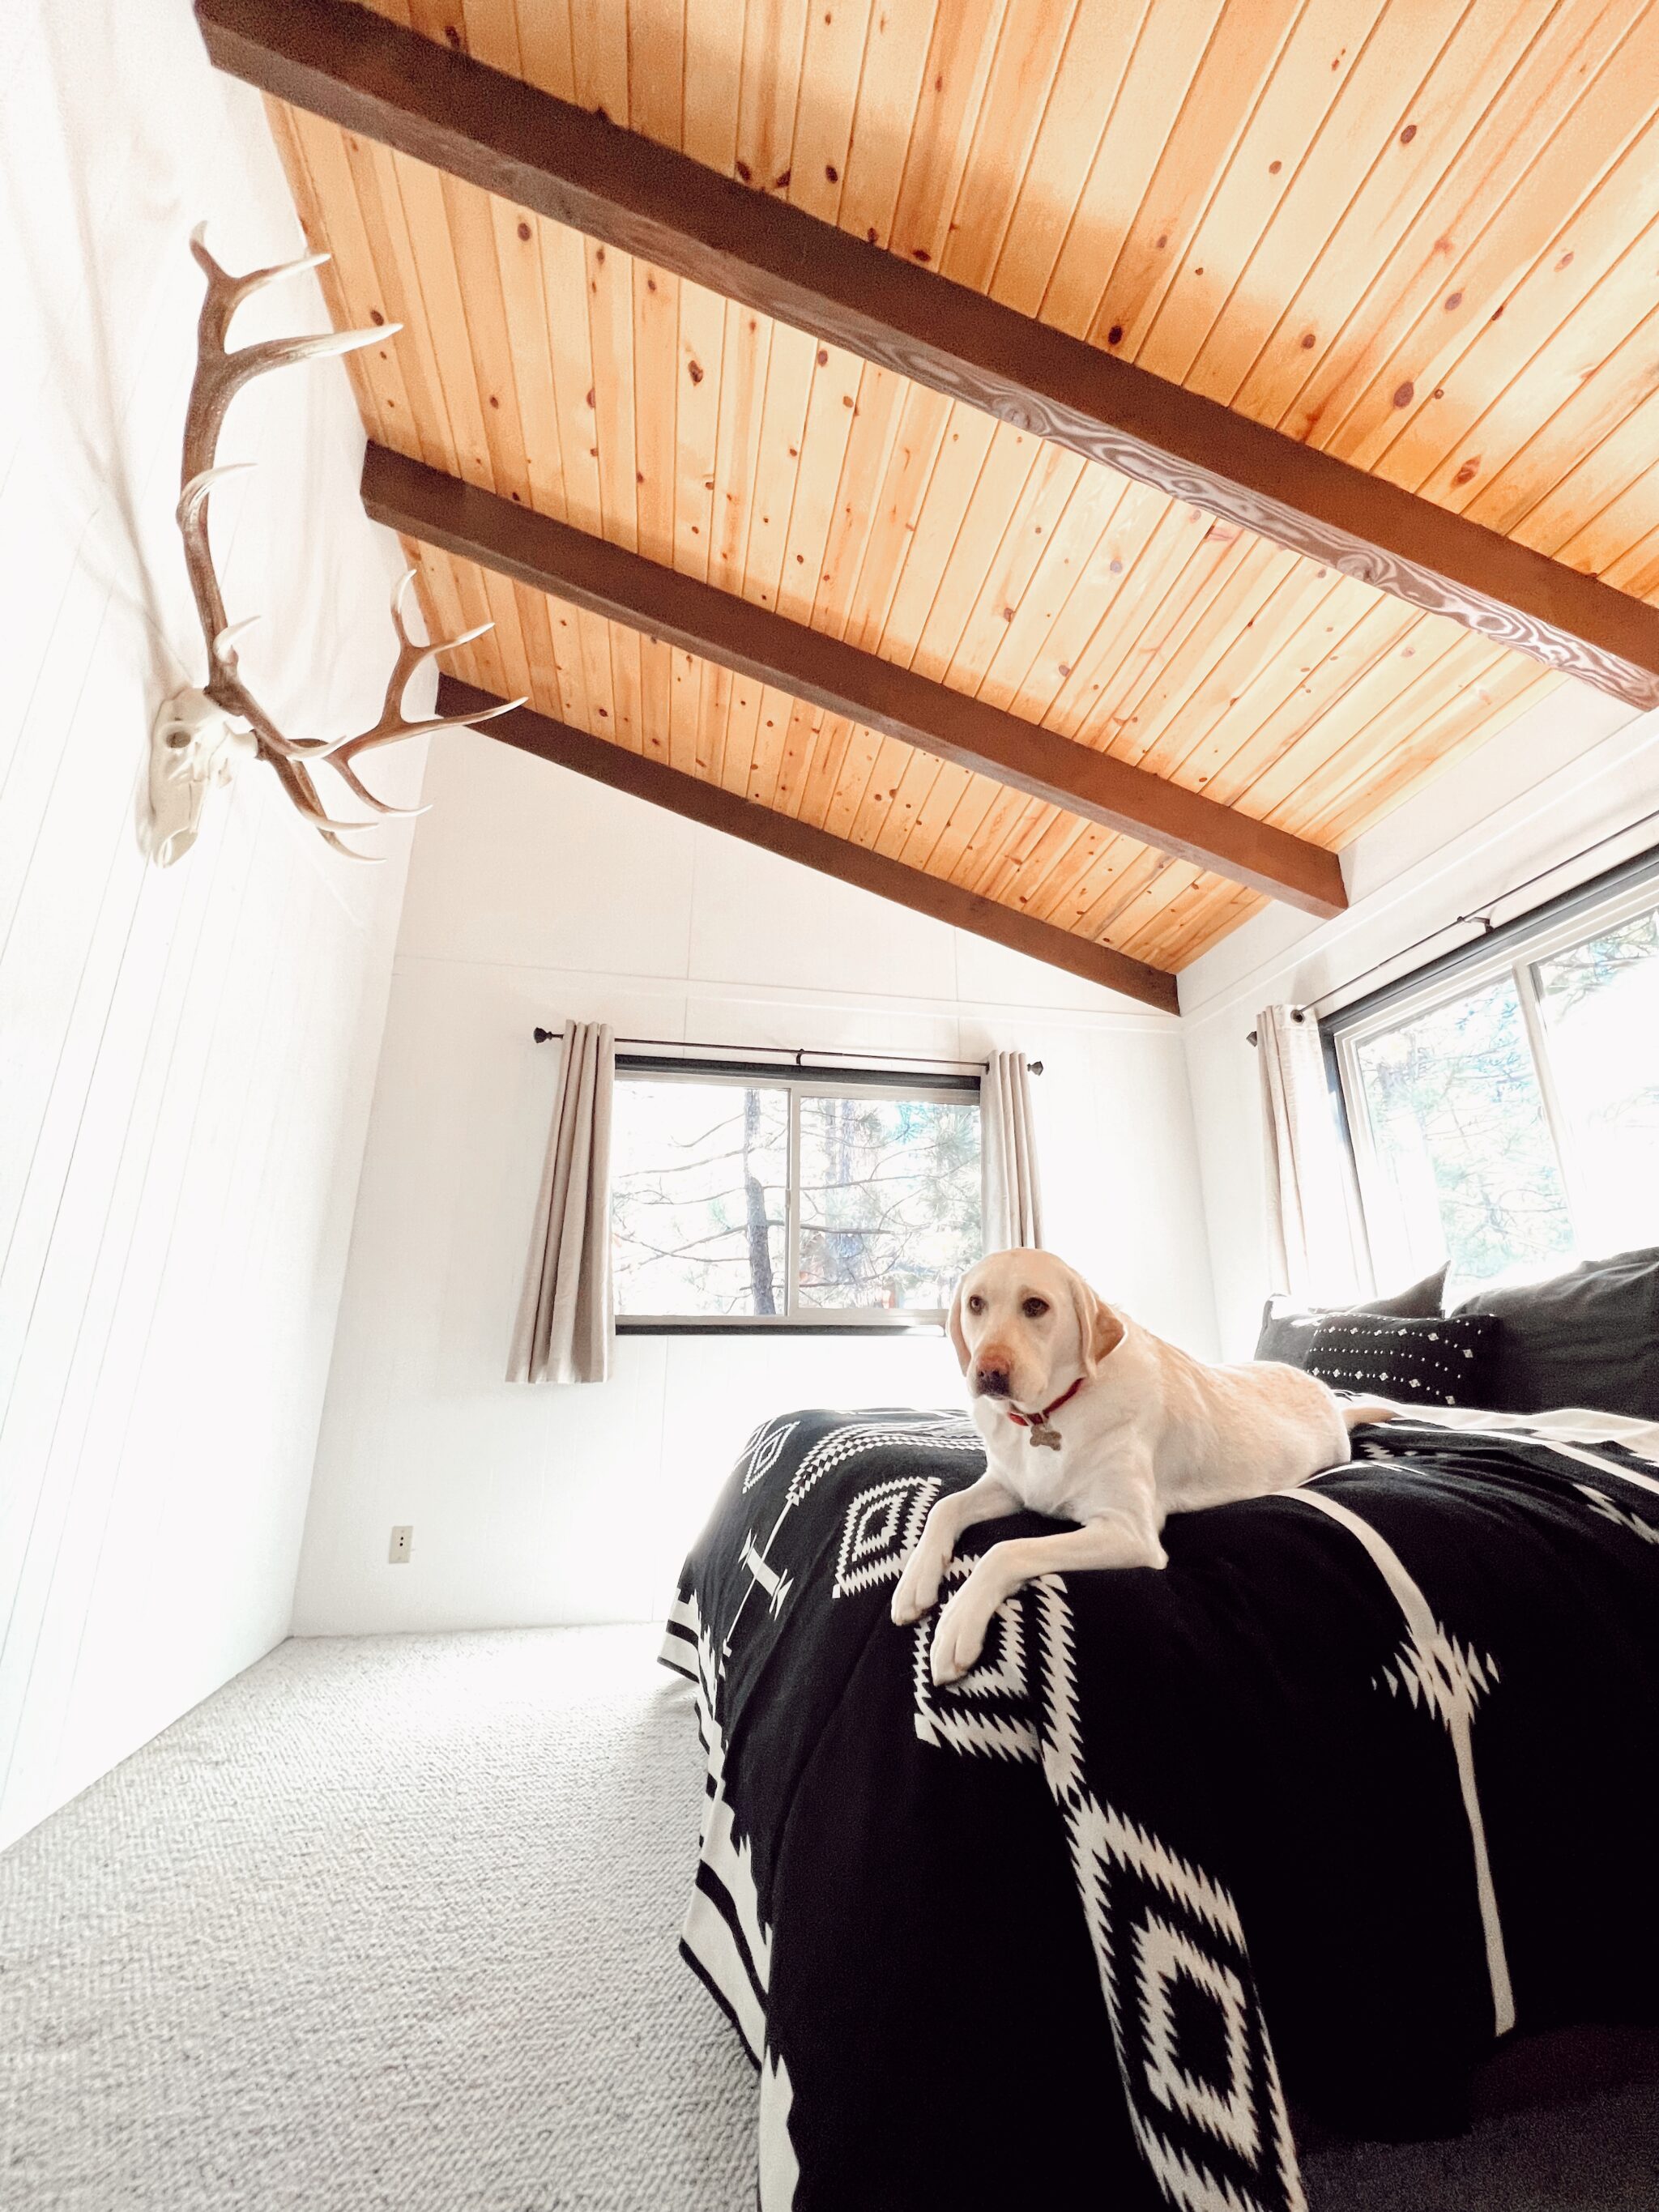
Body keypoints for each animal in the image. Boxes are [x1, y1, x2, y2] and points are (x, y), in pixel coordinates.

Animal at [889, 1256, 1380, 1681]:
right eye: (976, 1304)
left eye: (1036, 1306)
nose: (988, 1371)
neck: (1050, 1413)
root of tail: (1333, 1401)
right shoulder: (1009, 1486)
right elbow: (944, 1507)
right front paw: (914, 1580)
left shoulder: (1128, 1532)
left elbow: (1007, 1550)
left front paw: (957, 1623)